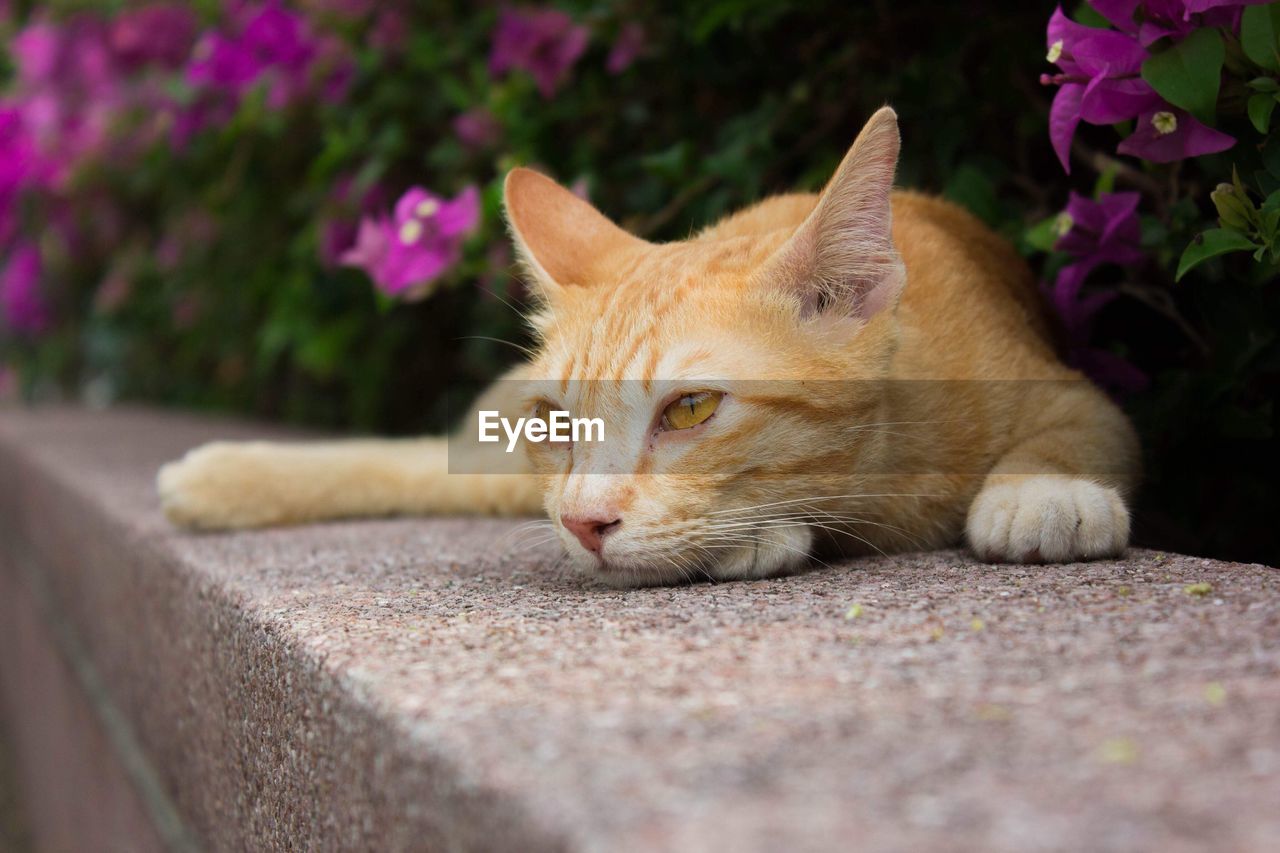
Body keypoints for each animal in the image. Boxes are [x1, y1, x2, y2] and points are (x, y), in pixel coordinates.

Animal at [160, 106, 1141, 584]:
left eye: (692, 408)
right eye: (557, 422)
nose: (582, 523)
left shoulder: (1075, 388)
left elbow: (1082, 429)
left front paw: (1046, 493)